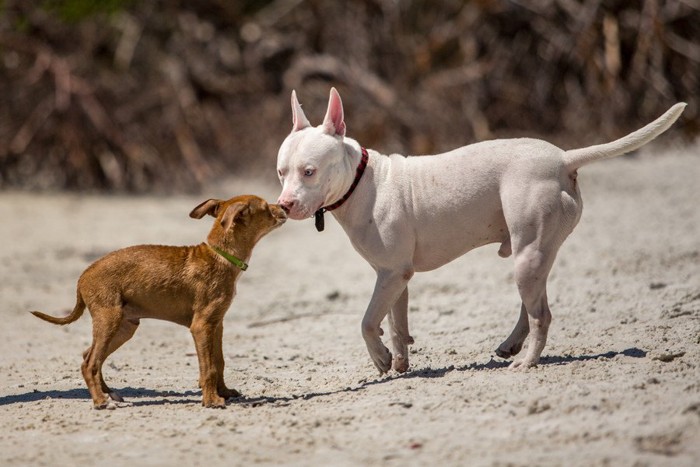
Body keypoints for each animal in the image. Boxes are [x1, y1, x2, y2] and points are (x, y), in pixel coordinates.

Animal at [30, 194, 288, 410]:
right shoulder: (201, 326)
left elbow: (219, 362)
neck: (221, 256)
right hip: (109, 320)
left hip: (125, 327)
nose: (285, 206)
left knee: (89, 355)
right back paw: (101, 402)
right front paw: (211, 400)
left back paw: (109, 393)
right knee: (90, 363)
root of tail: (83, 276)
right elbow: (208, 368)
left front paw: (223, 392)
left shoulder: (217, 325)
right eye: (266, 208)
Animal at [276, 87, 688, 372]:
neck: (361, 180)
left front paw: (380, 358)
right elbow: (394, 322)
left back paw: (525, 362)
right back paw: (512, 345)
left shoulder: (391, 274)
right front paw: (399, 361)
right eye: (281, 172)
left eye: (309, 171)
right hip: (533, 255)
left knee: (541, 315)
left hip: (527, 252)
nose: (284, 204)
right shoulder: (394, 275)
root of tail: (562, 158)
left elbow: (366, 321)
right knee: (532, 304)